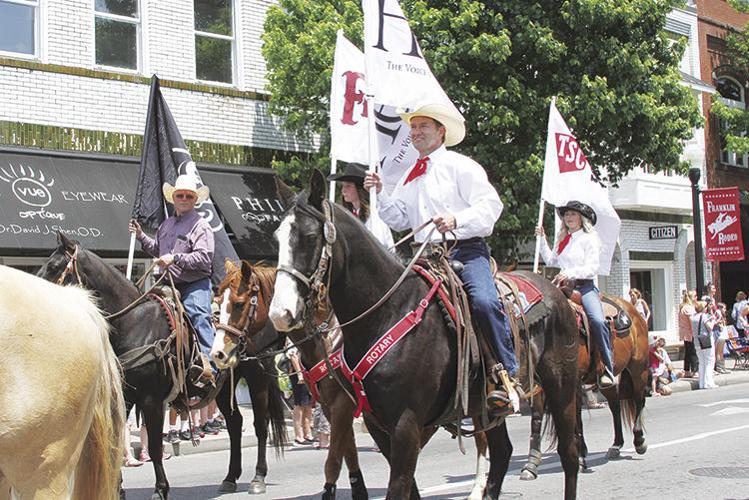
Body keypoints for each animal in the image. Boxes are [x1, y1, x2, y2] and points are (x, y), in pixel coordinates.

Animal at [38, 232, 290, 498]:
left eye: (53, 266)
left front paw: (160, 489)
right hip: (223, 388)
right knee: (234, 423)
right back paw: (230, 477)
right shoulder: (126, 397)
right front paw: (118, 489)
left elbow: (156, 447)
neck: (134, 324)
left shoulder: (151, 399)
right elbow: (116, 444)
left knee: (260, 424)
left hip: (258, 375)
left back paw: (258, 477)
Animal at [210, 260, 368, 498]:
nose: (218, 353)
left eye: (239, 304)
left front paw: (258, 477)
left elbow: (261, 424)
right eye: (218, 303)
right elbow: (346, 442)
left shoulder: (259, 378)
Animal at [268, 173, 580, 500]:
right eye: (276, 239)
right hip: (487, 409)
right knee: (502, 453)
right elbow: (408, 487)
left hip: (561, 386)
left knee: (569, 453)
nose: (280, 313)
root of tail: (556, 292)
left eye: (309, 236)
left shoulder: (405, 424)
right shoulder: (378, 424)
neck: (389, 312)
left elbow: (397, 486)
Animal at [520, 294, 648, 478]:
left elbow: (575, 421)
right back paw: (616, 445)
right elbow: (536, 419)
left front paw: (580, 459)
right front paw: (531, 464)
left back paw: (639, 441)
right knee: (615, 406)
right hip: (608, 382)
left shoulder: (572, 383)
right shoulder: (537, 385)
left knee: (639, 400)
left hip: (638, 368)